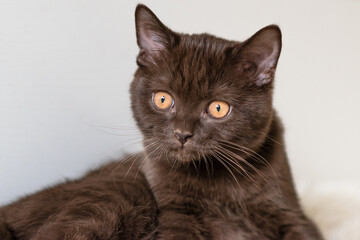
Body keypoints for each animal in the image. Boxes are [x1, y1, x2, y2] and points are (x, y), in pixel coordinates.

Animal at [0, 3, 324, 240]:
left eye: (218, 108)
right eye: (163, 99)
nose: (182, 134)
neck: (218, 181)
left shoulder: (291, 213)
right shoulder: (175, 212)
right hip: (116, 193)